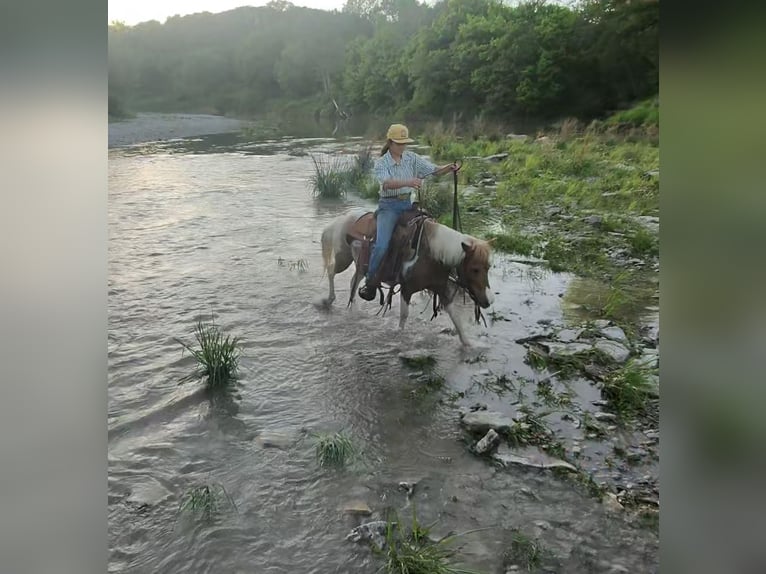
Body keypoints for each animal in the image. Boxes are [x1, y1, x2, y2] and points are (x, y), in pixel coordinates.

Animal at [320, 209, 496, 348]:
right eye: (475, 269)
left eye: (488, 267)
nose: (488, 301)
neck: (432, 254)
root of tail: (344, 218)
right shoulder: (407, 289)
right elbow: (404, 316)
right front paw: (398, 337)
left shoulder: (441, 289)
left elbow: (456, 318)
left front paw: (468, 344)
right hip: (343, 258)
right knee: (331, 272)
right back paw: (327, 300)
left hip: (360, 266)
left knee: (353, 282)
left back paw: (354, 309)